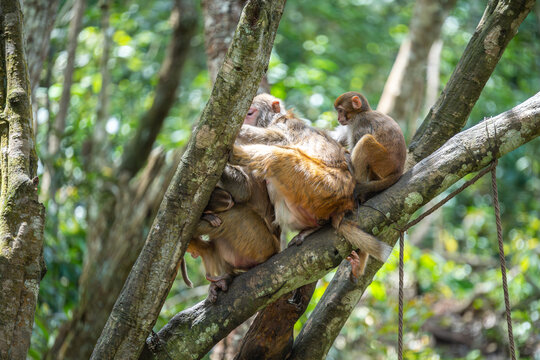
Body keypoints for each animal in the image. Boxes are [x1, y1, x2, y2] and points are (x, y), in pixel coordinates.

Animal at [228, 94, 392, 278]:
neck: (274, 119)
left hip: (325, 187)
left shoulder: (283, 128)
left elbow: (270, 140)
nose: (244, 121)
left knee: (277, 157)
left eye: (249, 113)